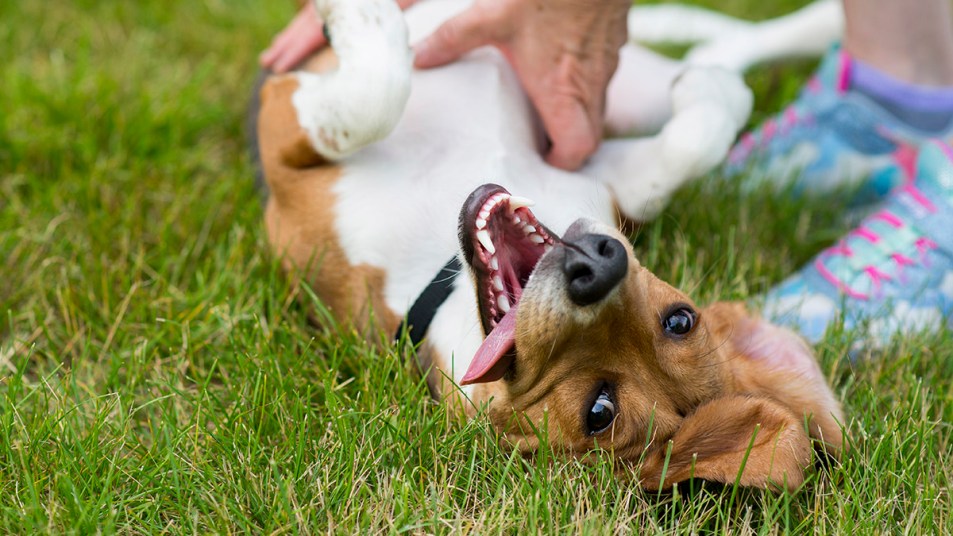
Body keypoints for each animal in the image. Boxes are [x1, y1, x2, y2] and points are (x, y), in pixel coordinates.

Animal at [253, 0, 840, 490]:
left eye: (599, 412)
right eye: (680, 319)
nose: (597, 268)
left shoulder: (284, 140)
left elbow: (371, 98)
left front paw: (358, 18)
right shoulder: (601, 165)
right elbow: (690, 146)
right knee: (716, 51)